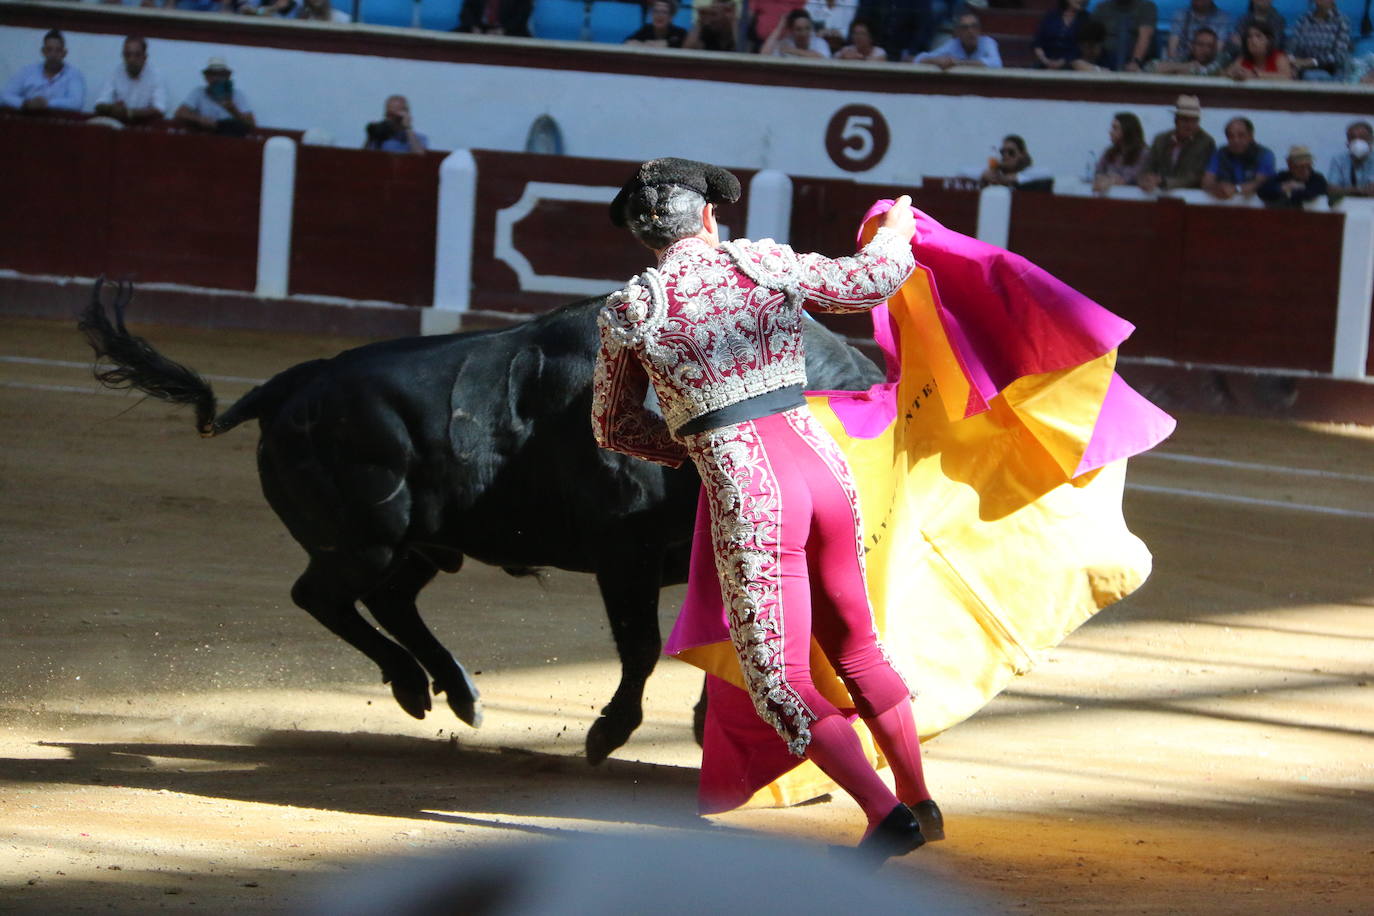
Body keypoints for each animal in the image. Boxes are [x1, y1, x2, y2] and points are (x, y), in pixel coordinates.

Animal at [80, 281, 879, 769]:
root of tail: (290, 384)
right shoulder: (623, 558)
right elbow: (644, 648)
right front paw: (608, 732)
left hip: (426, 542)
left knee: (389, 599)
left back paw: (455, 691)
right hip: (368, 536)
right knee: (324, 595)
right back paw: (415, 685)